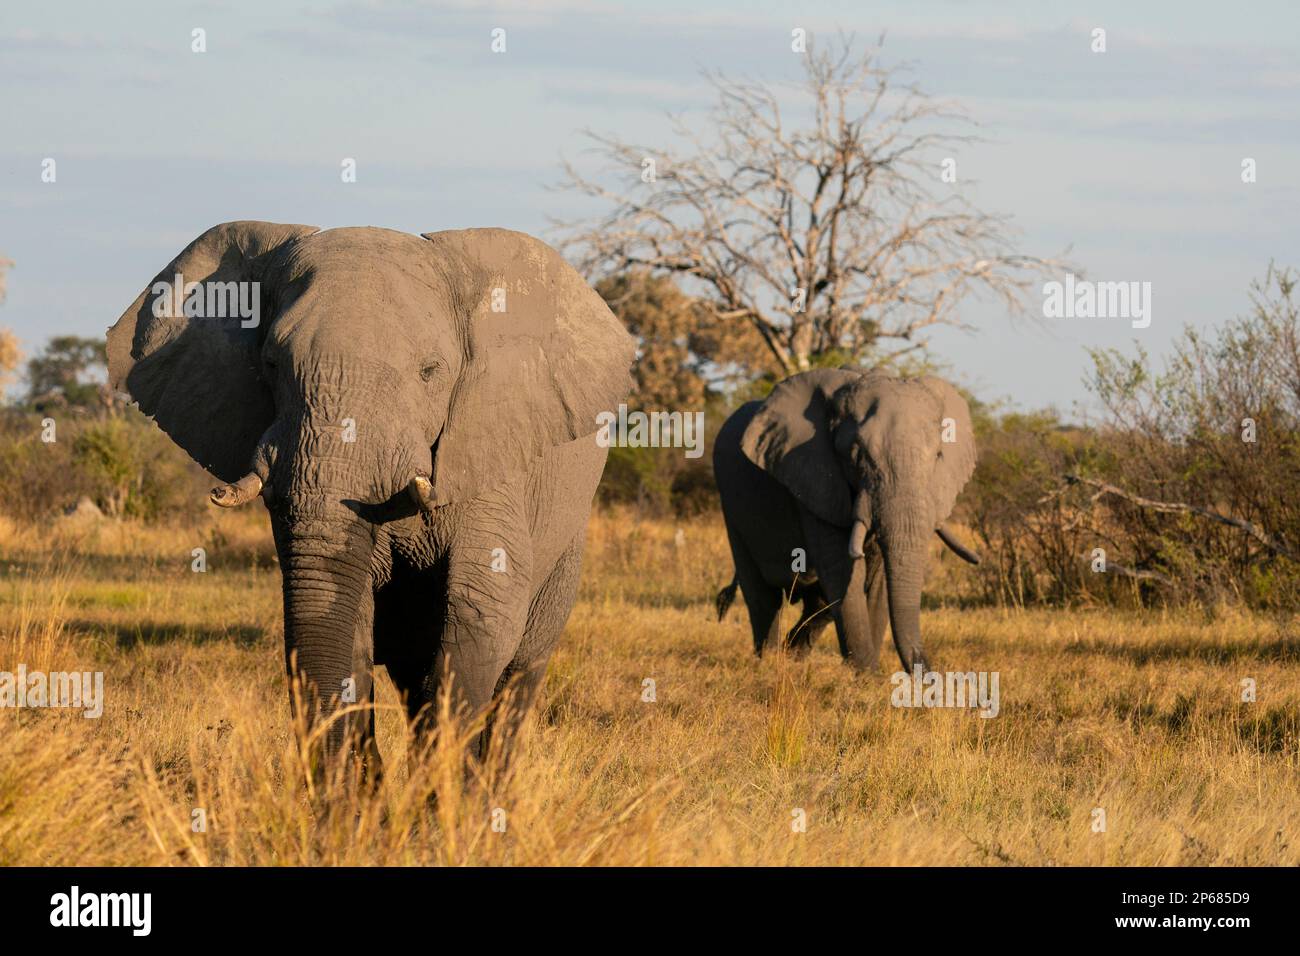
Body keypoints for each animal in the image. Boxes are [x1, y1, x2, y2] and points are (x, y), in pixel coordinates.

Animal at [106, 222, 634, 770]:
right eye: (271, 364)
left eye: (430, 371)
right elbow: (350, 610)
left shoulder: (490, 461)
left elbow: (481, 613)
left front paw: (445, 790)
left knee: (519, 671)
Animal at [717, 366, 977, 671]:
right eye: (857, 454)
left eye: (937, 455)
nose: (926, 672)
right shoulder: (815, 481)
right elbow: (843, 569)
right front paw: (868, 673)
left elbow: (876, 579)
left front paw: (870, 675)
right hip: (731, 509)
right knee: (763, 597)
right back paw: (769, 661)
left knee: (818, 602)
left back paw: (792, 656)